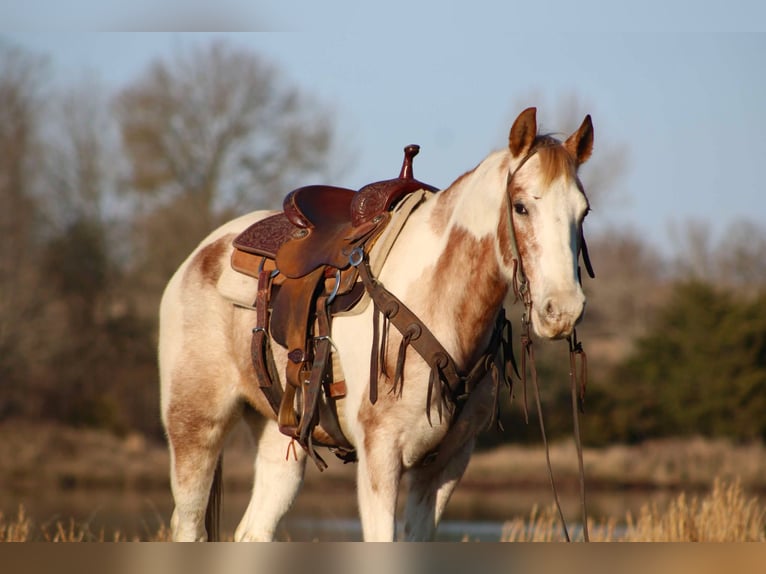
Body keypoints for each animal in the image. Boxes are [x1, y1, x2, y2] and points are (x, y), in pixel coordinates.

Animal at [159, 108, 596, 544]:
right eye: (520, 207)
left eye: (584, 212)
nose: (563, 310)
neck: (436, 300)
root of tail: (201, 255)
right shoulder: (380, 456)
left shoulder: (446, 465)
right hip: (195, 427)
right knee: (189, 526)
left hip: (280, 440)